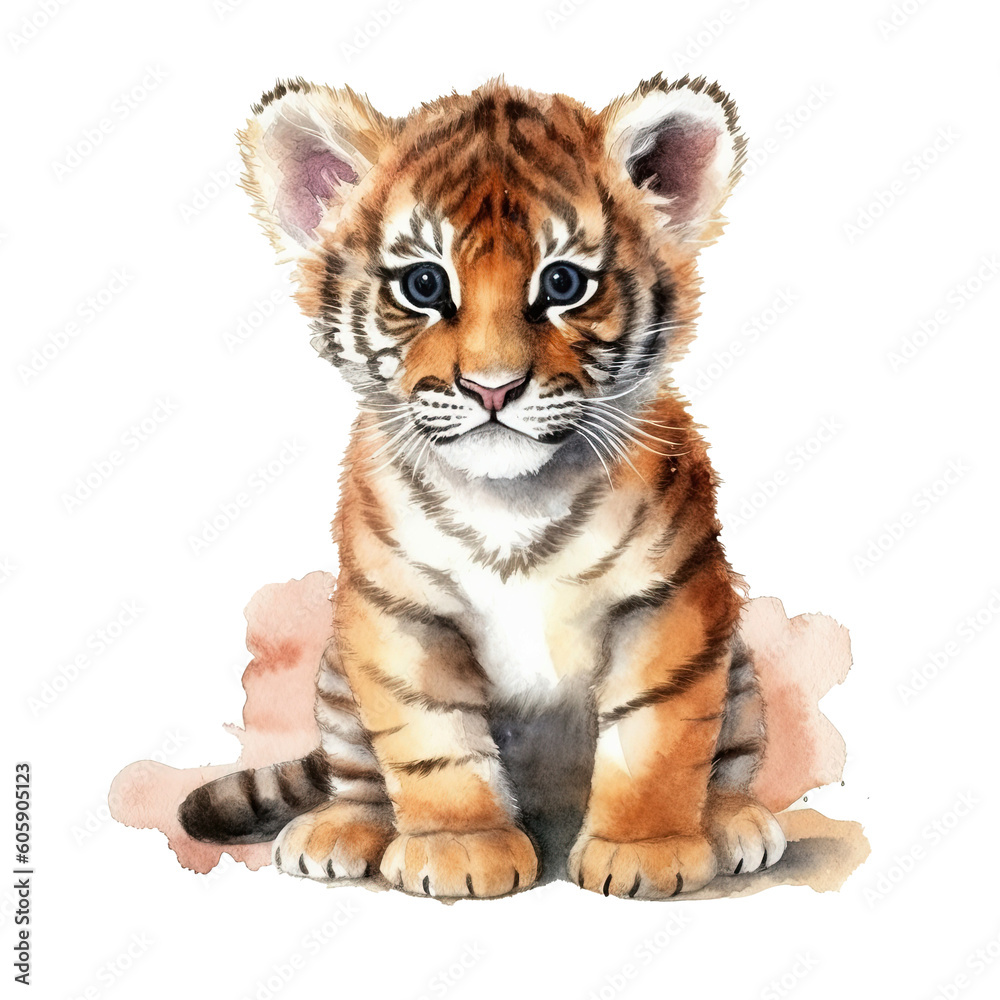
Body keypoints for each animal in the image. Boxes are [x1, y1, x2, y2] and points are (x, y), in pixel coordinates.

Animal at [177, 74, 788, 899]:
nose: (493, 388)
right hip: (336, 676)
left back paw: (733, 822)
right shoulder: (400, 612)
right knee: (355, 775)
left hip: (742, 669)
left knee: (727, 761)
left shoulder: (668, 599)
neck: (513, 502)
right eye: (424, 283)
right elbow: (431, 740)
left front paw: (646, 850)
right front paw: (461, 849)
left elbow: (656, 736)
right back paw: (339, 831)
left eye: (563, 283)